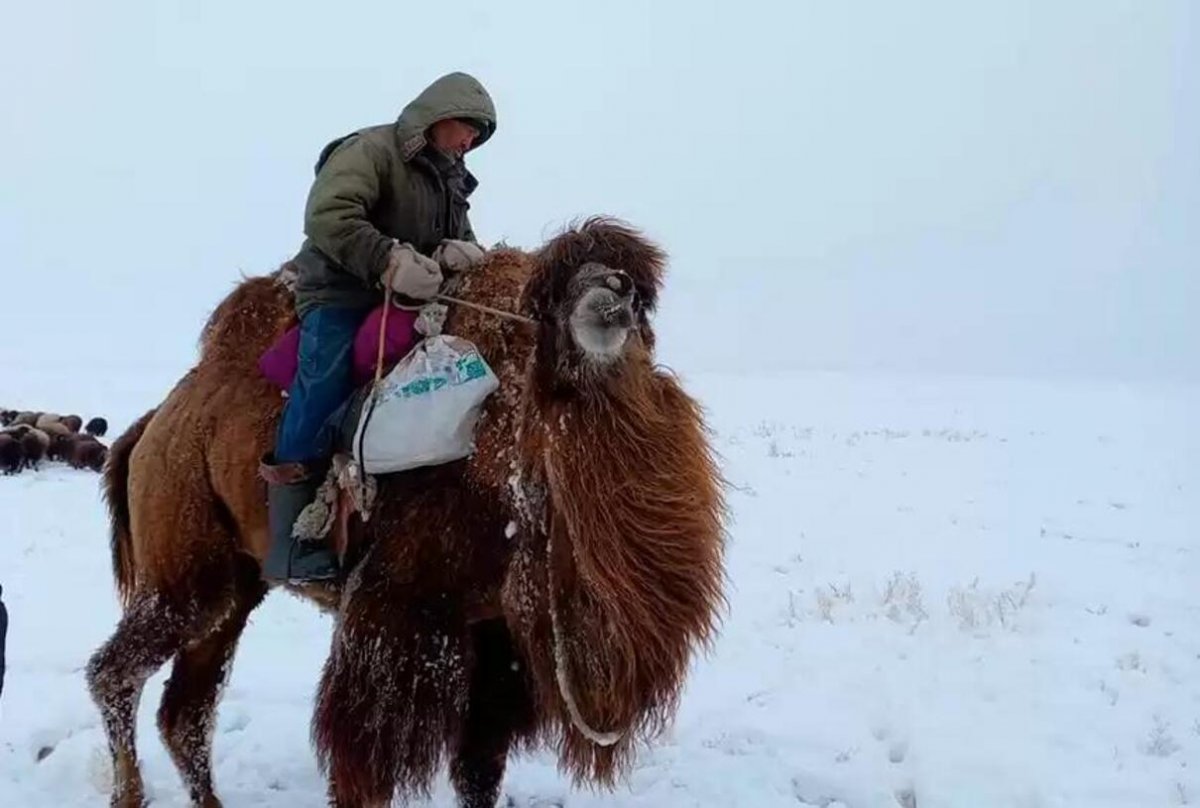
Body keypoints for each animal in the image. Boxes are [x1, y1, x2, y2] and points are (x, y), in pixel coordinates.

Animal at [87, 217, 720, 801]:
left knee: (187, 710)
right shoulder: (397, 611)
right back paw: (129, 792)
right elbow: (364, 763)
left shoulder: (497, 633)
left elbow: (478, 766)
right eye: (551, 295)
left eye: (641, 294)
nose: (611, 294)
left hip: (238, 585)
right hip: (187, 572)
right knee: (116, 675)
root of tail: (153, 425)